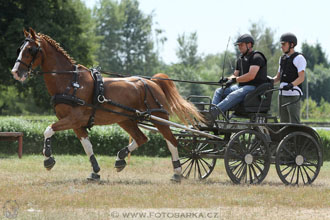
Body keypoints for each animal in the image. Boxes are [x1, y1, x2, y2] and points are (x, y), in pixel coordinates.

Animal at [10, 27, 204, 182]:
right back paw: (121, 158)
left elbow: (48, 130)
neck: (71, 82)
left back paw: (177, 172)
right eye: (19, 49)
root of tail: (153, 82)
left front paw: (48, 158)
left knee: (171, 141)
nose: (15, 72)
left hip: (159, 118)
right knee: (142, 138)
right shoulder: (77, 124)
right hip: (125, 120)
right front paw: (95, 172)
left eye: (31, 49)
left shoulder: (73, 119)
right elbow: (87, 146)